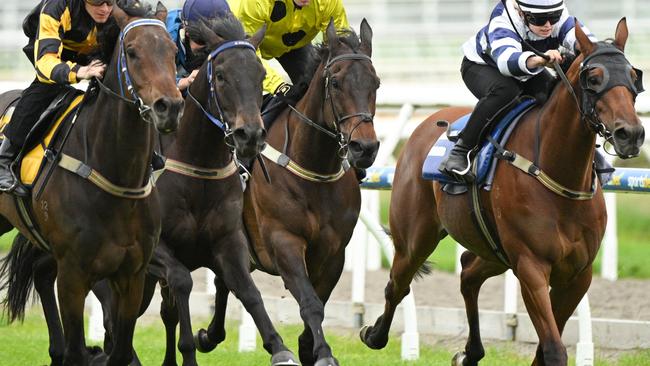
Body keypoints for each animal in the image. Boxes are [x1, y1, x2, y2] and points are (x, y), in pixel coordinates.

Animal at [0, 3, 185, 366]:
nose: (169, 107)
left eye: (173, 51)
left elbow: (120, 351)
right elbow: (77, 351)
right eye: (132, 51)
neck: (117, 176)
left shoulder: (132, 275)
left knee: (41, 272)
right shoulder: (73, 276)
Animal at [233, 19, 378, 366]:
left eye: (376, 83)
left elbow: (320, 301)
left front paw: (306, 347)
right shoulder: (283, 240)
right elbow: (310, 302)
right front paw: (322, 353)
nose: (365, 148)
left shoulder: (334, 251)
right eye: (335, 83)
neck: (314, 170)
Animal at [360, 17, 644, 366]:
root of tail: (427, 122)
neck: (558, 174)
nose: (631, 134)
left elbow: (546, 346)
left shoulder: (578, 274)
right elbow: (553, 348)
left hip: (493, 249)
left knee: (468, 272)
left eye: (634, 76)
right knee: (398, 284)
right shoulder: (531, 266)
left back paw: (470, 352)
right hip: (415, 238)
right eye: (594, 78)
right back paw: (374, 335)